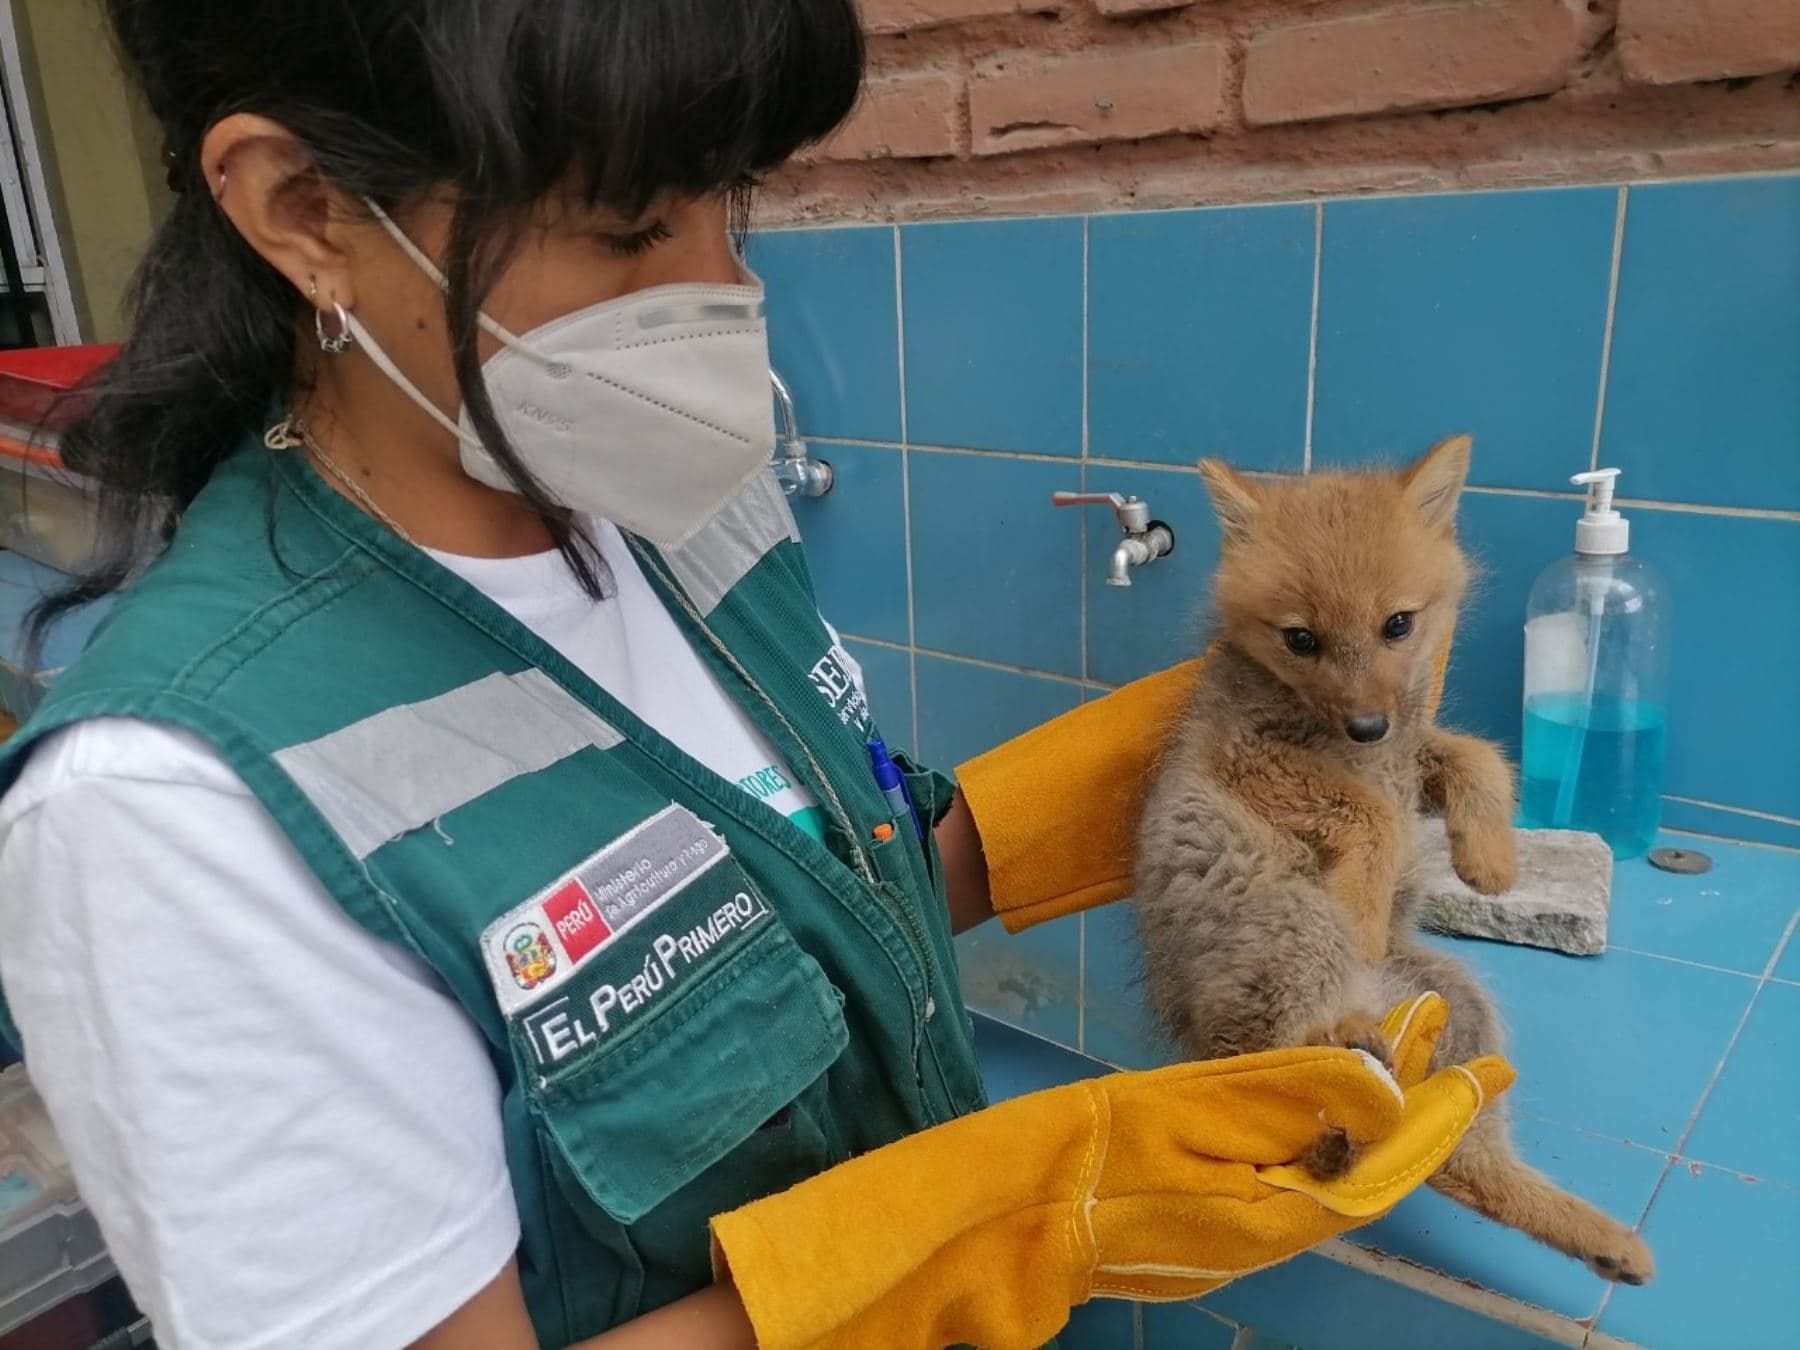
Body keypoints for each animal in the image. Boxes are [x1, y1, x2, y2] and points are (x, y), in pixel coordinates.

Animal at [1133, 434, 1655, 1285]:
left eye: (1398, 624)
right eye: (1300, 639)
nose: (1367, 724)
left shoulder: (1414, 753)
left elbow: (1480, 759)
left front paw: (1490, 860)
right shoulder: (1255, 761)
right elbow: (1372, 814)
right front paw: (1375, 904)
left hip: (1459, 1009)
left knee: (1458, 1157)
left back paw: (1603, 1241)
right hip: (1297, 934)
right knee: (1276, 1078)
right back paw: (1338, 1057)